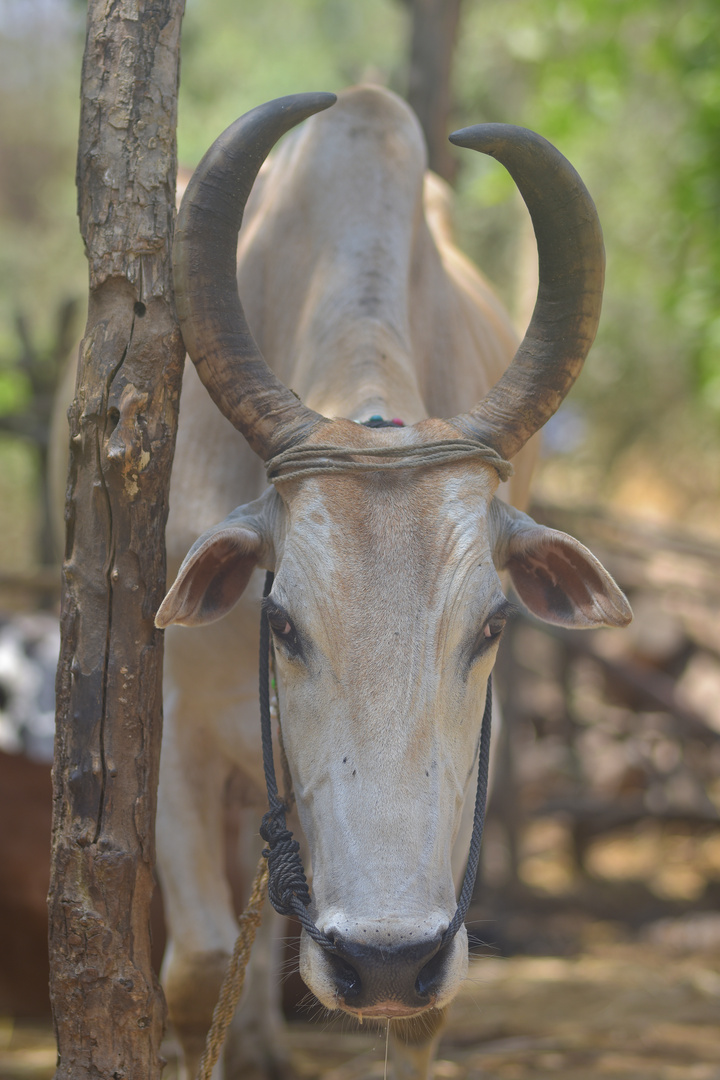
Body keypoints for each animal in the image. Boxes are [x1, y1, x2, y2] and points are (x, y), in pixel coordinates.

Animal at [153, 86, 630, 1080]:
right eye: (281, 622)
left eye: (491, 626)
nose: (379, 959)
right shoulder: (175, 729)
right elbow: (197, 969)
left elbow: (420, 1018)